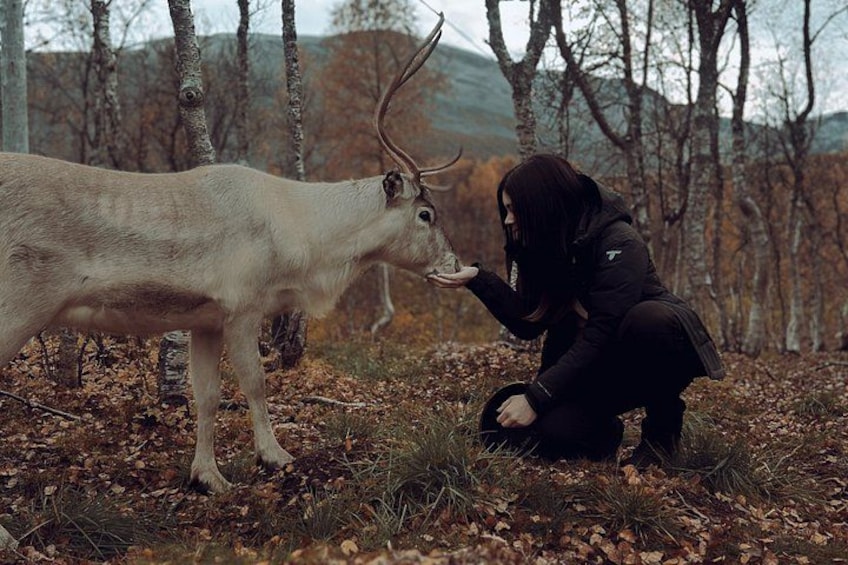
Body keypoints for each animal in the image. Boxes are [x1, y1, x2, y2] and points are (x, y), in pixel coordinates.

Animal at [0, 15, 459, 494]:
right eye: (426, 214)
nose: (454, 265)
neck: (302, 237)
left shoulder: (205, 319)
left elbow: (208, 395)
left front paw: (207, 476)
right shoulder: (243, 305)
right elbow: (255, 383)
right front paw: (274, 456)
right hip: (21, 304)